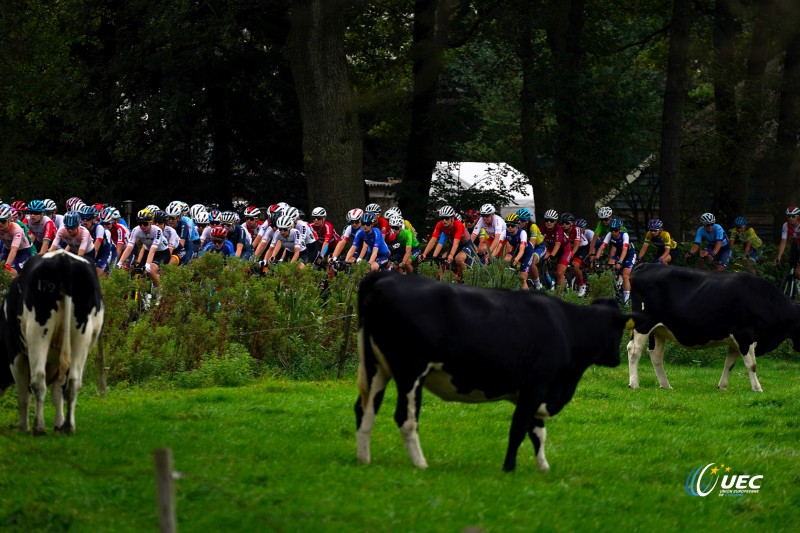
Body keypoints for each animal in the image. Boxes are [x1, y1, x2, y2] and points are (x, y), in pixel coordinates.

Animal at [0, 248, 104, 432]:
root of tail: (63, 259)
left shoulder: (15, 354)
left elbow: (23, 395)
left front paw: (23, 426)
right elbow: (57, 393)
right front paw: (59, 423)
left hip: (38, 331)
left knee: (38, 380)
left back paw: (38, 428)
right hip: (81, 337)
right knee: (73, 382)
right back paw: (69, 427)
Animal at [356, 272, 636, 472]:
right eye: (619, 328)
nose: (616, 358)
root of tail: (385, 277)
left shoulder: (533, 392)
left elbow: (538, 432)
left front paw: (543, 468)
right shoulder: (537, 385)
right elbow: (519, 428)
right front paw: (509, 467)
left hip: (376, 367)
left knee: (364, 409)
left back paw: (364, 459)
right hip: (410, 371)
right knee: (405, 417)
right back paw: (420, 464)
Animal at [624, 262, 800, 390]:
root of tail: (645, 266)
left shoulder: (735, 340)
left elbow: (729, 364)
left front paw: (722, 386)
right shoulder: (744, 335)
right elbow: (752, 365)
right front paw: (757, 388)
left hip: (660, 330)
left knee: (656, 355)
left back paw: (666, 385)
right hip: (644, 324)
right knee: (634, 350)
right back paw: (634, 384)